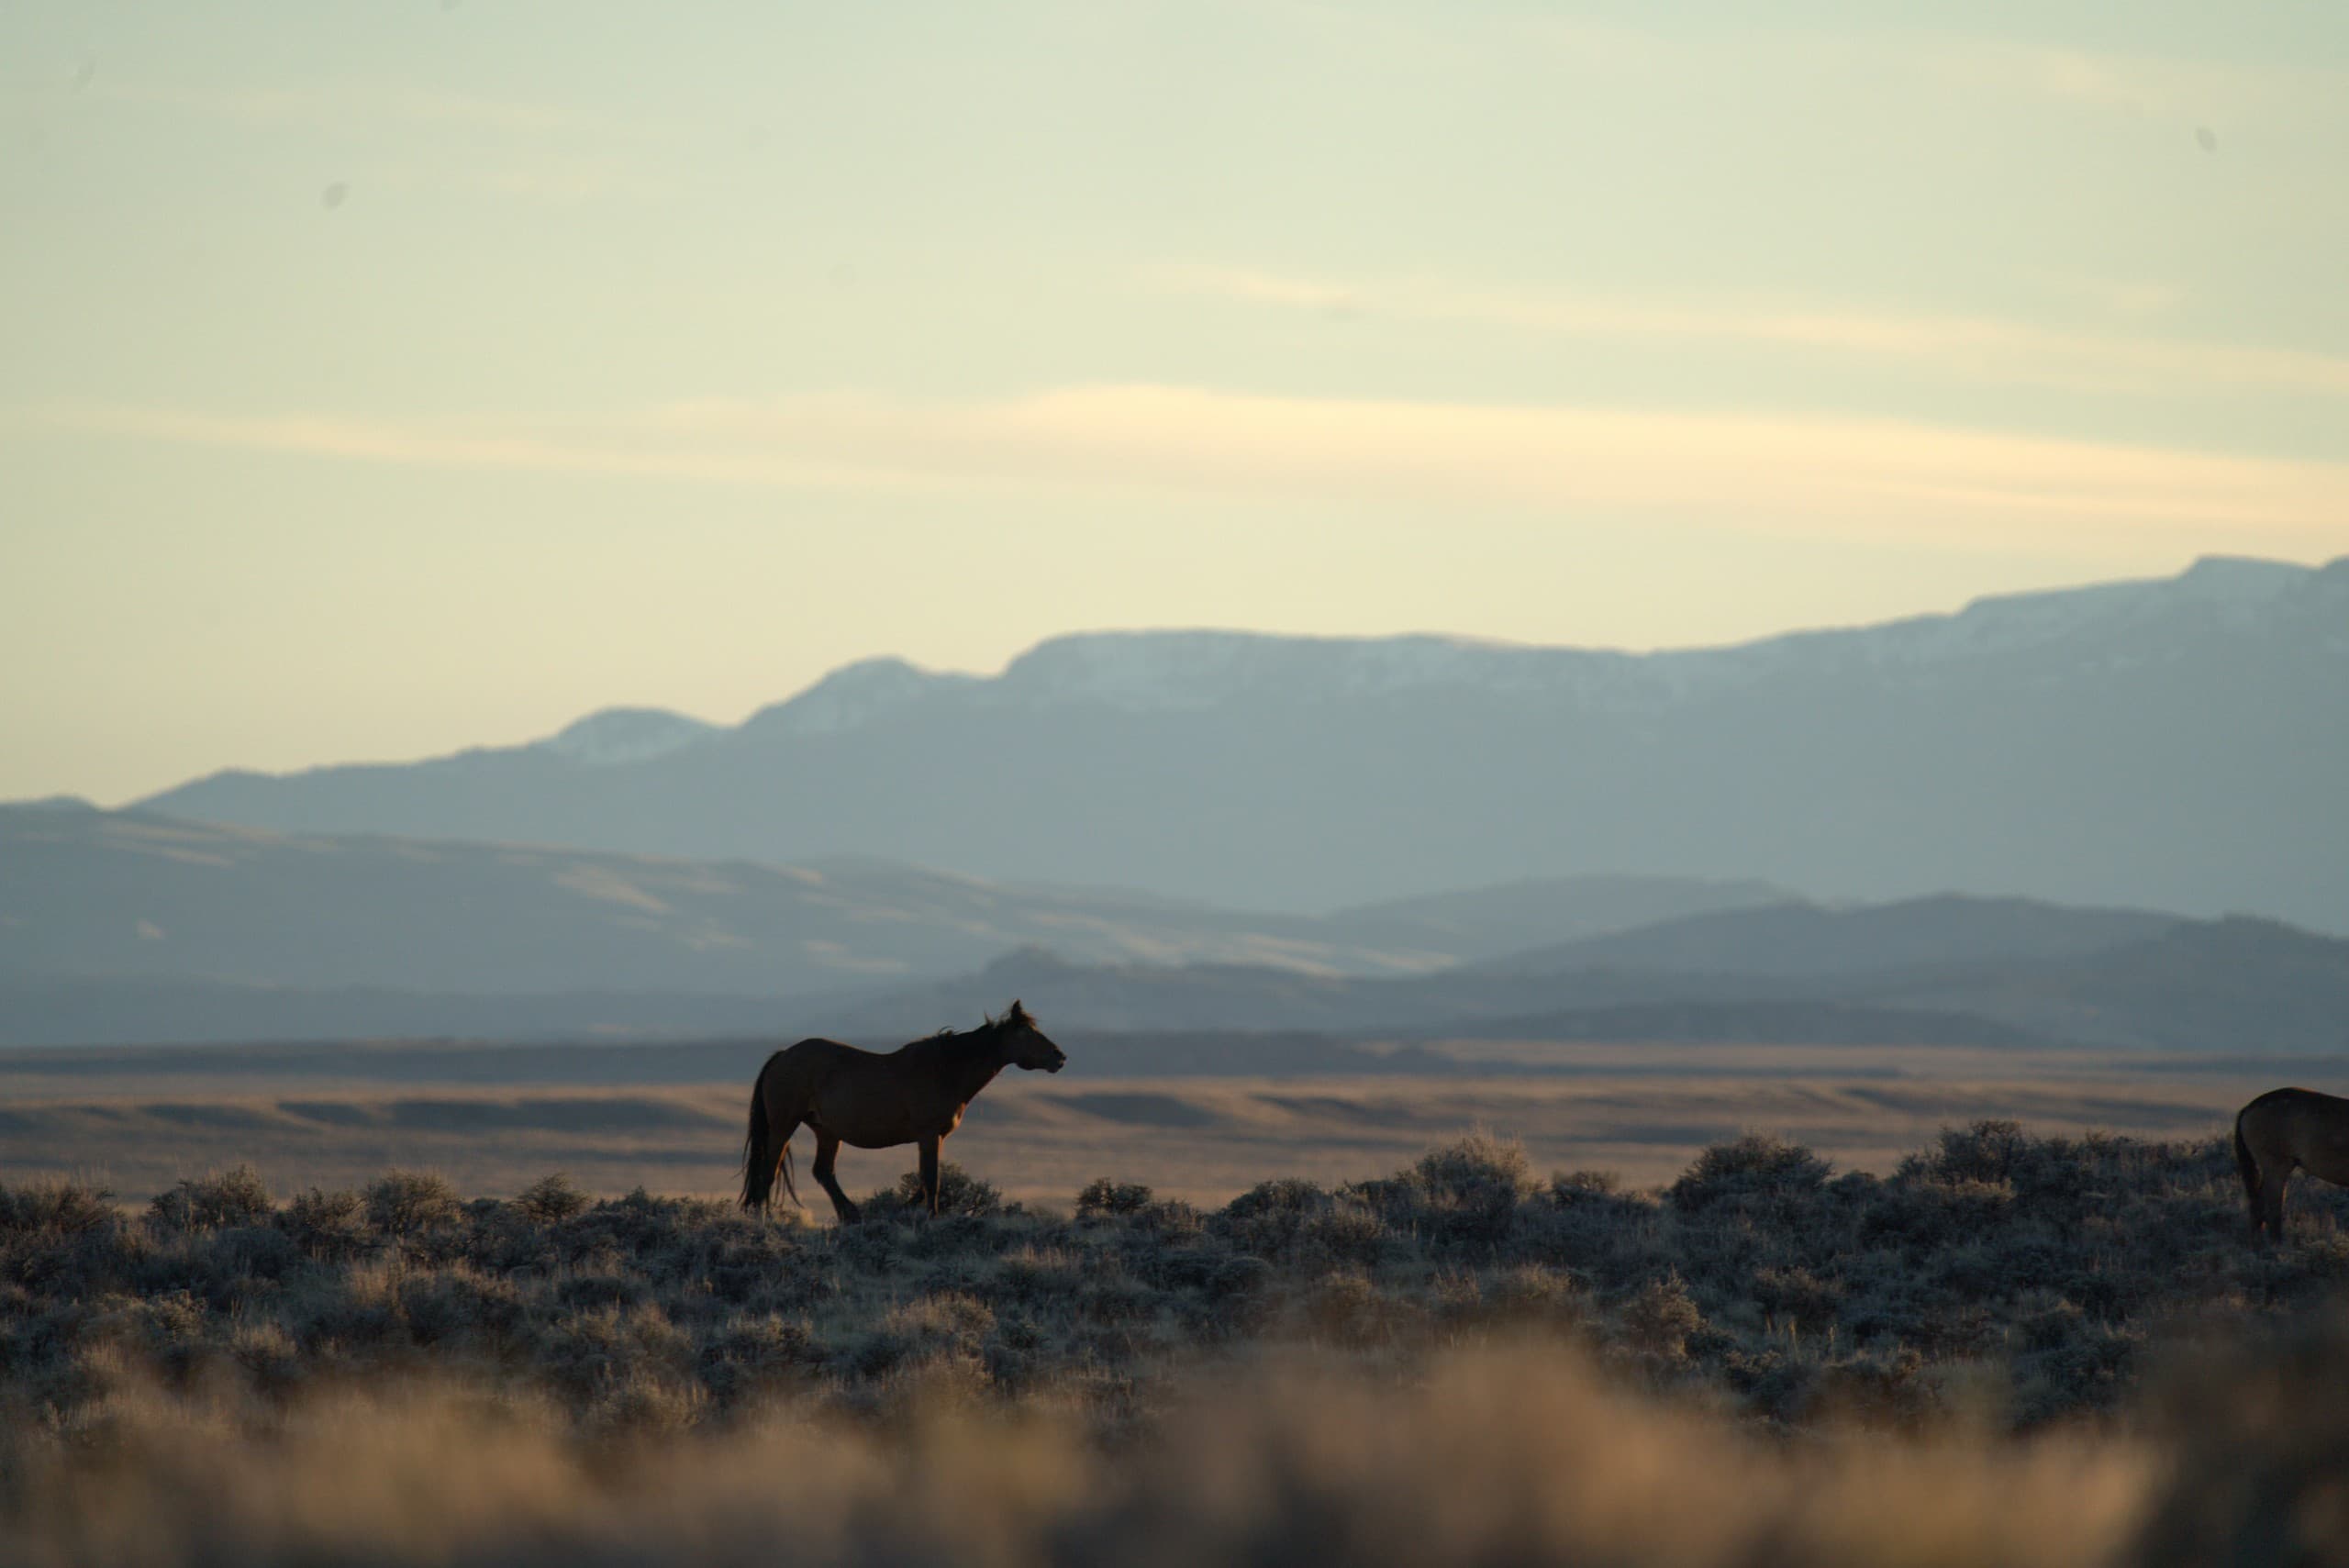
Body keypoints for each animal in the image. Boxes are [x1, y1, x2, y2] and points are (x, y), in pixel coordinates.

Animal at [739, 1000, 1066, 1223]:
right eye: (1026, 1033)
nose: (1059, 1057)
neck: (945, 1070)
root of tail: (783, 1055)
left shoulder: (936, 1137)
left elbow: (925, 1182)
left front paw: (903, 1210)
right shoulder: (929, 1135)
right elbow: (931, 1180)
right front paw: (930, 1218)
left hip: (826, 1131)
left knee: (823, 1172)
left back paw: (852, 1216)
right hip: (784, 1125)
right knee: (768, 1172)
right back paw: (764, 1219)